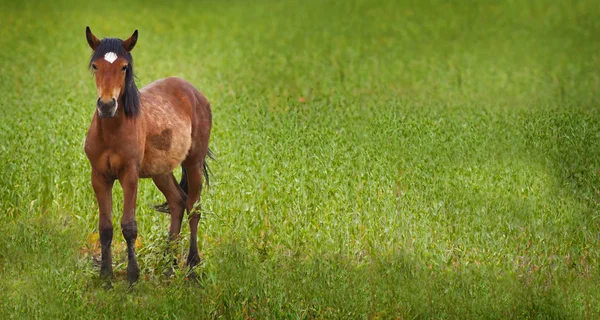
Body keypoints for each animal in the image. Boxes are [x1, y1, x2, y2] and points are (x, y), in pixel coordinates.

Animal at [83, 26, 212, 284]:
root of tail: (196, 93)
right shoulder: (99, 177)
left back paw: (192, 268)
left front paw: (132, 277)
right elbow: (105, 227)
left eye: (124, 67)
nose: (106, 105)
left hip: (193, 163)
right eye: (96, 66)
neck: (111, 133)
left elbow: (129, 226)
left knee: (193, 208)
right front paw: (106, 278)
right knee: (177, 202)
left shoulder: (129, 176)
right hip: (160, 172)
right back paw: (169, 267)